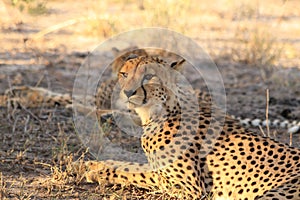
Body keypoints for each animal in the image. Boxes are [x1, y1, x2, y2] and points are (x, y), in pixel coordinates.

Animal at [78, 55, 300, 199]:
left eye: (149, 77)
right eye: (124, 74)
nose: (127, 92)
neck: (161, 111)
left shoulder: (189, 188)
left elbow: (135, 174)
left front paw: (100, 173)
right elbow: (132, 165)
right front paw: (95, 165)